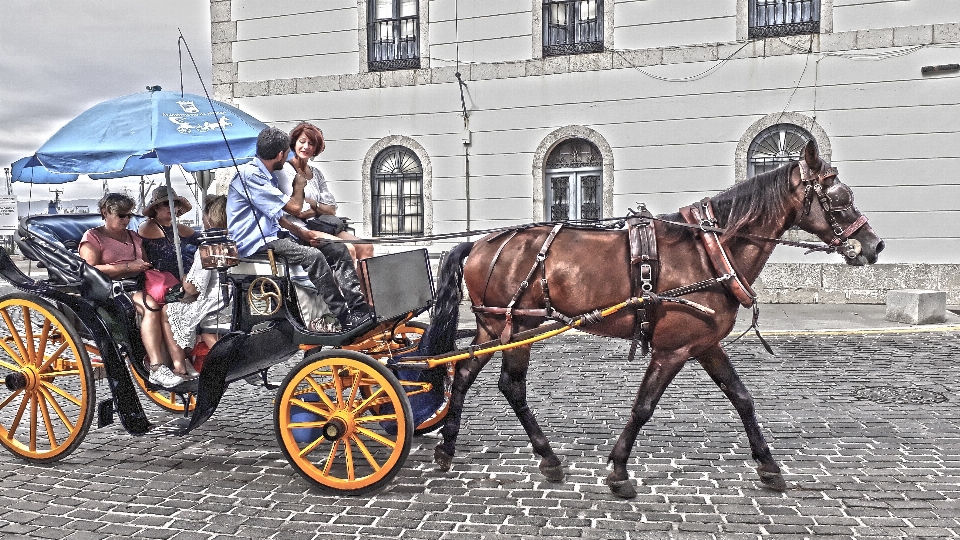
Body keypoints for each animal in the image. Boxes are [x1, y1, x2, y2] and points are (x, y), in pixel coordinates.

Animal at [420, 142, 884, 498]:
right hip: (514, 327)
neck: (708, 253)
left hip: (497, 327)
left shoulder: (705, 344)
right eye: (841, 198)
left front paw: (768, 465)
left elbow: (742, 398)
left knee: (467, 376)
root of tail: (480, 243)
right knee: (505, 384)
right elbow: (644, 406)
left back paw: (453, 447)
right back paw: (537, 455)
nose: (874, 245)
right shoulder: (672, 349)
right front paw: (618, 471)